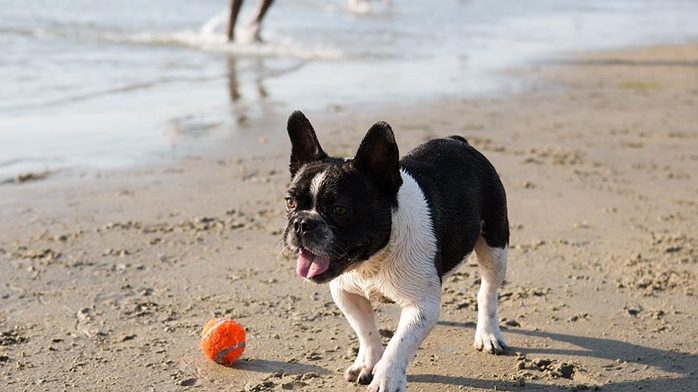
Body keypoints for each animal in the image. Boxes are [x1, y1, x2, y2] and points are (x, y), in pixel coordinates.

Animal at [282, 111, 506, 392]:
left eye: (340, 210)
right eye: (290, 202)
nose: (302, 223)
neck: (373, 260)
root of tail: (458, 142)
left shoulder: (421, 306)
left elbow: (400, 344)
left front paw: (386, 378)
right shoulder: (347, 294)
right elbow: (365, 330)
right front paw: (367, 363)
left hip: (495, 246)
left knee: (488, 291)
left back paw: (488, 334)